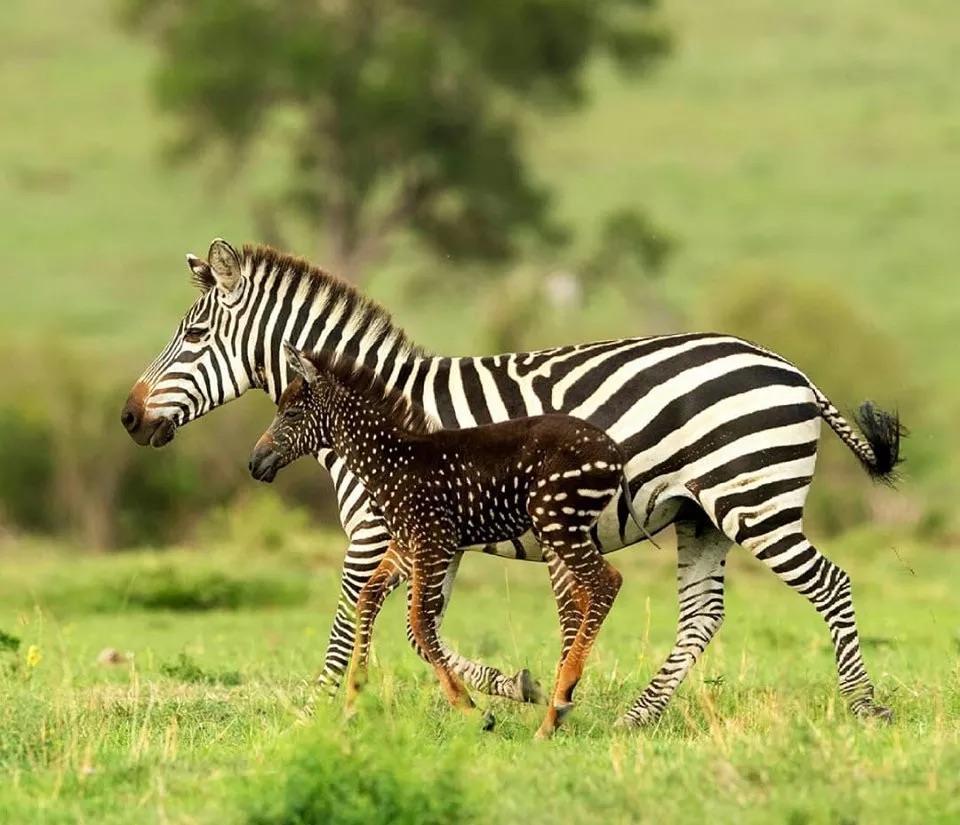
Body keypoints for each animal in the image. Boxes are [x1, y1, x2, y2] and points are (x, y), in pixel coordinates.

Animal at [249, 342, 643, 738]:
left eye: (292, 413)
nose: (255, 463)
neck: (391, 461)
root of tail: (613, 451)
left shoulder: (433, 541)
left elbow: (421, 623)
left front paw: (471, 709)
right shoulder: (405, 545)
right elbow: (368, 598)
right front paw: (353, 700)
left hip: (558, 522)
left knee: (606, 582)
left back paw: (558, 706)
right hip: (565, 528)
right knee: (587, 595)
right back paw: (555, 710)